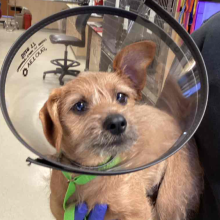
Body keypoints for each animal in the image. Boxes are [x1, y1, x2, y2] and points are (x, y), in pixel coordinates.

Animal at [39, 41, 203, 220]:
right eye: (79, 106)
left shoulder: (139, 212)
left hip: (169, 201)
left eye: (121, 97)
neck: (90, 173)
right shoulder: (60, 210)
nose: (117, 123)